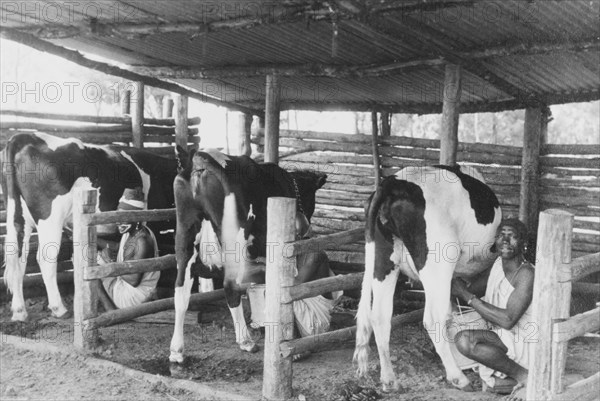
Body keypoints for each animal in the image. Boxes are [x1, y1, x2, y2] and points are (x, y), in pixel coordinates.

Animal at [1, 133, 177, 320]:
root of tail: (26, 137)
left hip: (18, 218)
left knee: (18, 260)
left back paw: (19, 311)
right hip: (50, 218)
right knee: (45, 259)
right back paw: (59, 309)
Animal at [169, 148, 326, 362]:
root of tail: (202, 157)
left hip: (185, 234)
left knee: (181, 289)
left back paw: (177, 350)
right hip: (235, 240)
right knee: (230, 285)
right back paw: (245, 341)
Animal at [352, 165, 502, 390]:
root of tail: (393, 182)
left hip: (383, 260)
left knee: (379, 316)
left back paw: (389, 379)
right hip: (438, 262)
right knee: (432, 318)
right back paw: (458, 377)